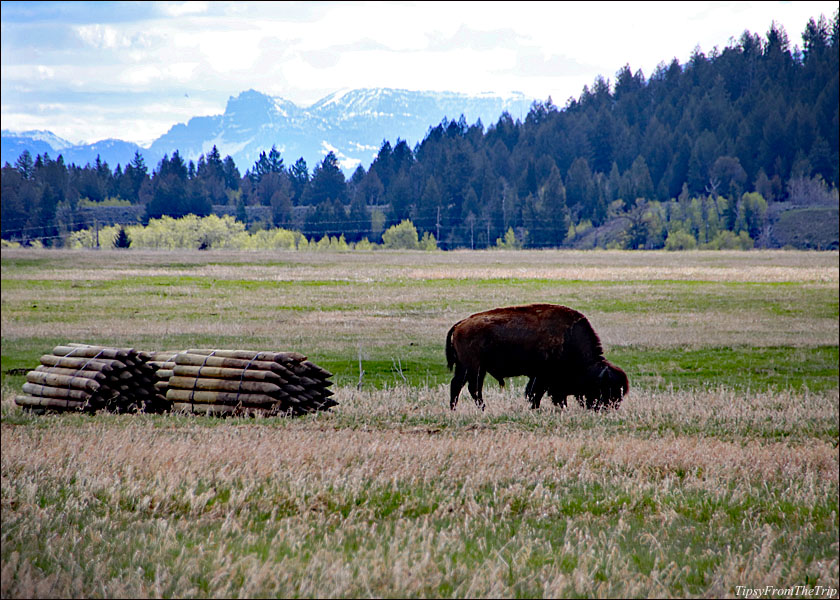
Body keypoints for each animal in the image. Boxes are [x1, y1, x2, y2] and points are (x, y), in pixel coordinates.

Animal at [446, 304, 632, 412]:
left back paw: (455, 409)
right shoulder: (543, 377)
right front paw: (536, 408)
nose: (608, 409)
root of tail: (461, 324)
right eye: (605, 389)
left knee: (458, 385)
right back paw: (482, 409)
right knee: (472, 388)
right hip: (475, 368)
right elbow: (536, 394)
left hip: (467, 368)